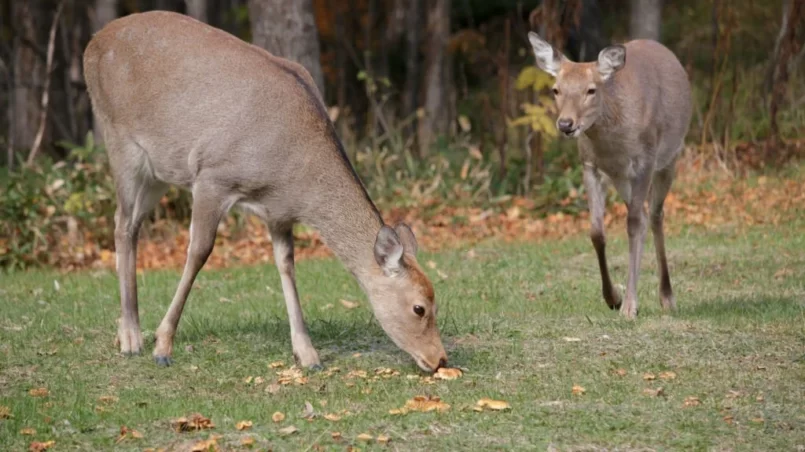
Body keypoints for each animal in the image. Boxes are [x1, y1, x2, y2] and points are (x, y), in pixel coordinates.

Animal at [85, 11, 450, 370]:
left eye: (436, 301)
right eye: (419, 307)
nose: (440, 359)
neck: (294, 181)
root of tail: (92, 44)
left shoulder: (278, 213)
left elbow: (286, 265)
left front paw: (307, 354)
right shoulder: (212, 176)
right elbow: (199, 252)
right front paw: (163, 345)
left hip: (158, 172)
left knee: (131, 224)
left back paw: (124, 333)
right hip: (119, 139)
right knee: (123, 224)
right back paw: (132, 337)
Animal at [528, 31, 692, 318]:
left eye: (591, 89)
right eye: (556, 89)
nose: (566, 124)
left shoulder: (645, 161)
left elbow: (634, 225)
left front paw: (629, 306)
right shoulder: (590, 166)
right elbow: (597, 231)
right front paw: (613, 297)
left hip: (670, 157)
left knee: (655, 215)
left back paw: (667, 296)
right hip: (622, 178)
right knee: (643, 215)